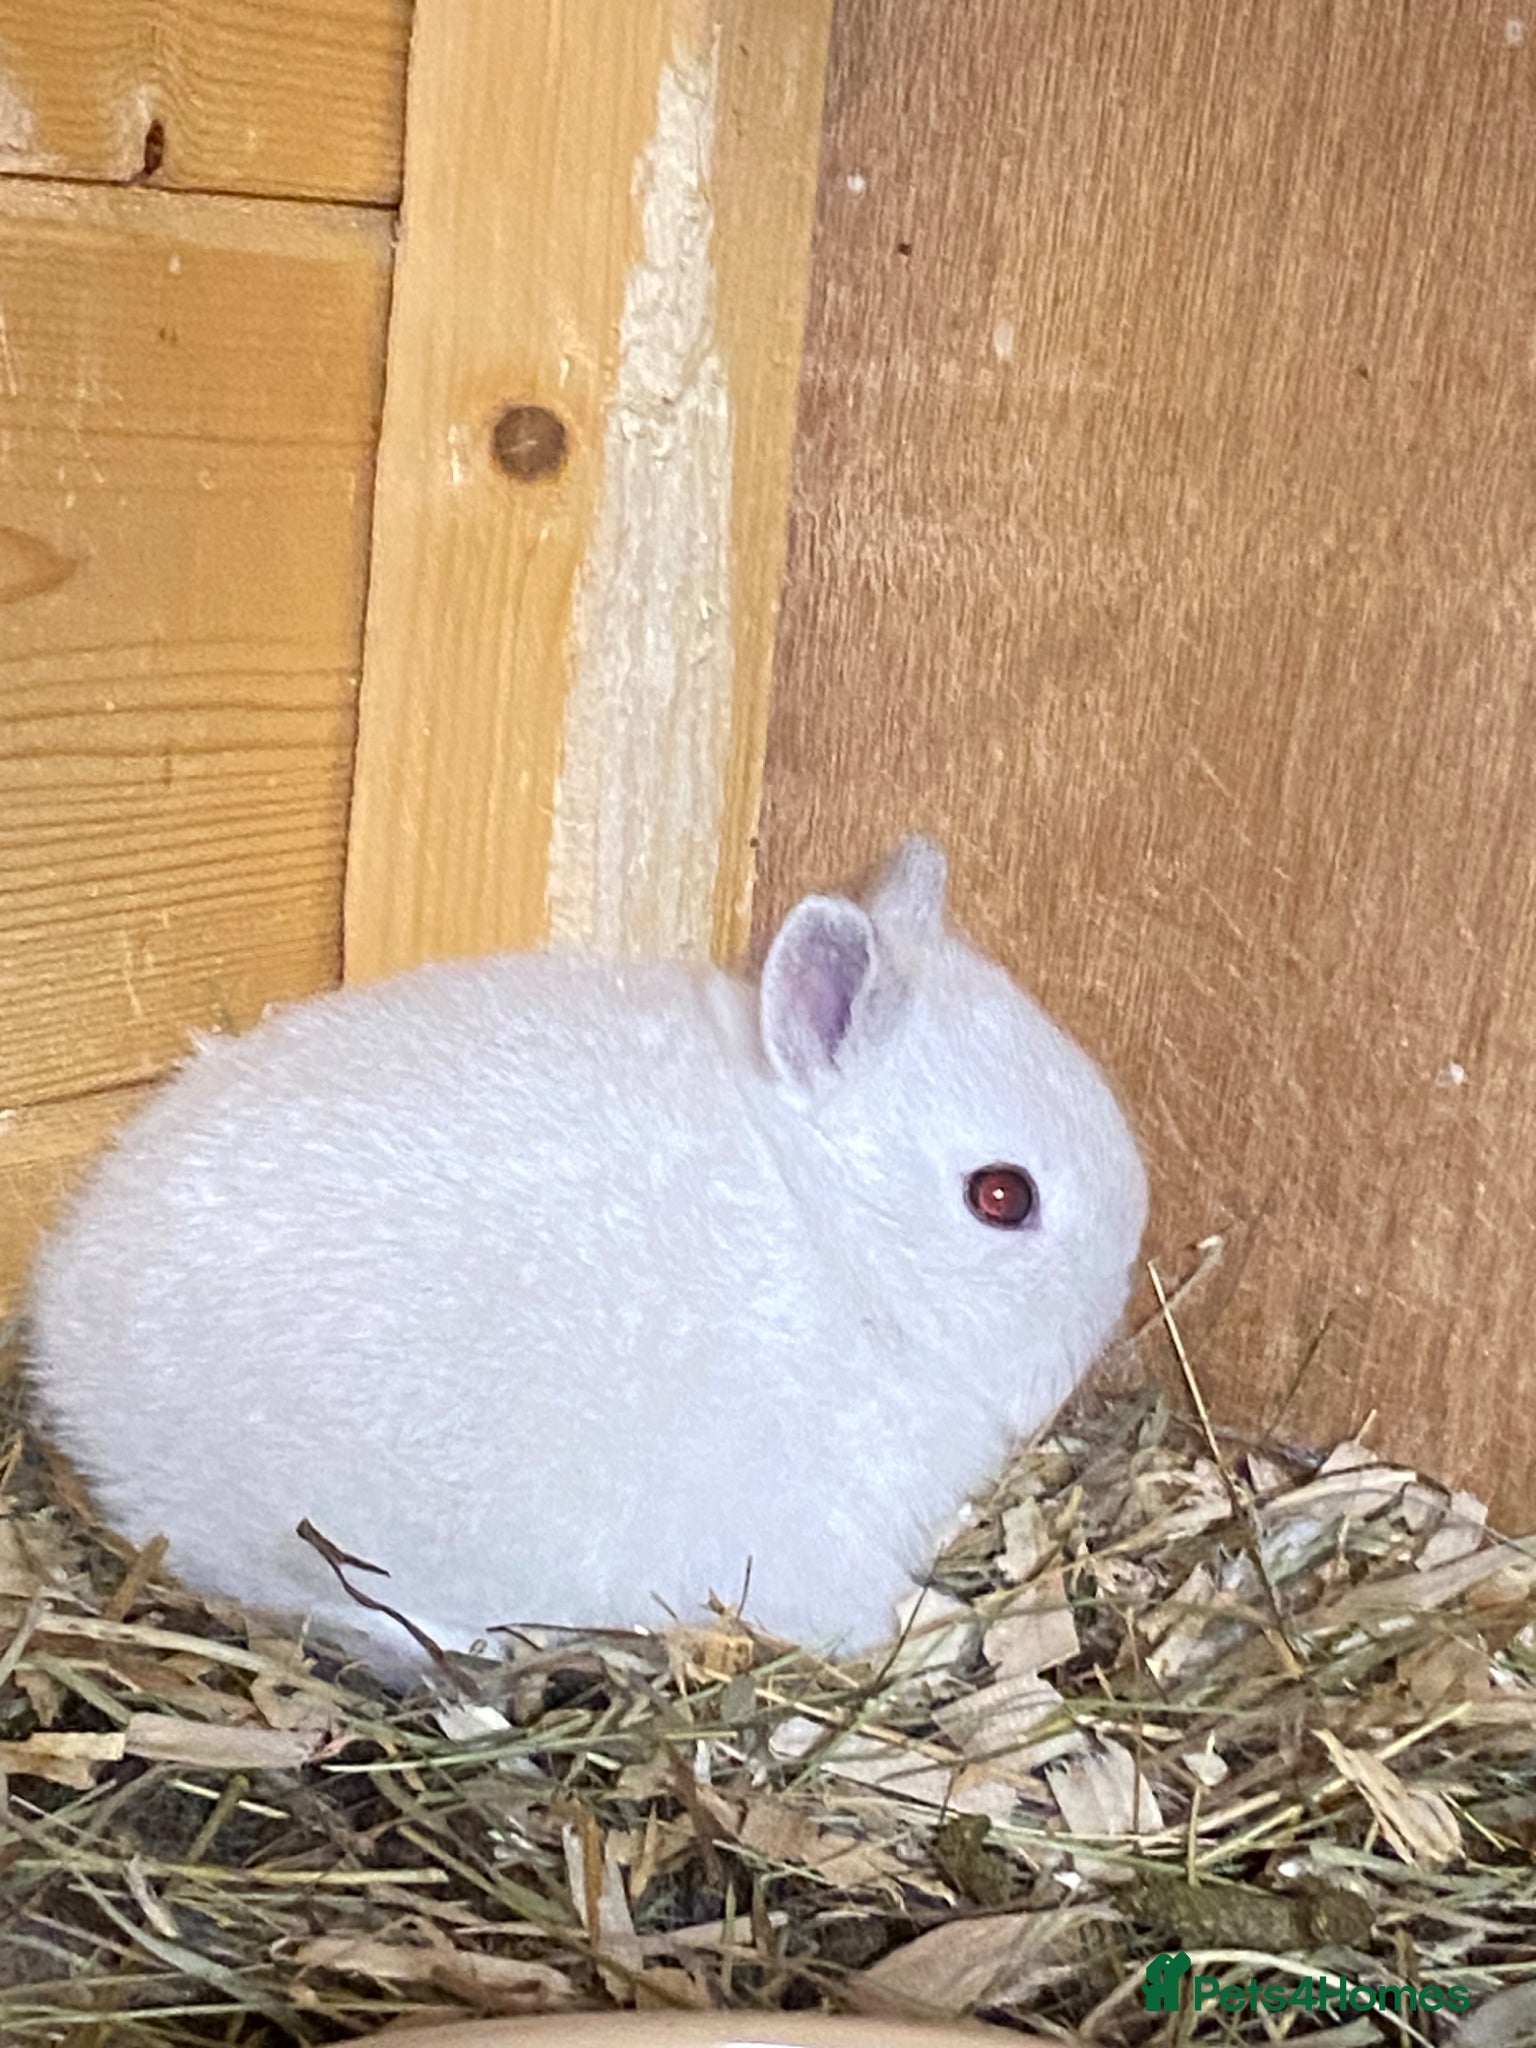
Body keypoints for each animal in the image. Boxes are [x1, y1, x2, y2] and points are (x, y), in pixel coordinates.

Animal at [27, 837, 1147, 1672]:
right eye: (1001, 1196)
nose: (1098, 1327)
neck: (837, 1248)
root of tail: (68, 1365)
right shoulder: (794, 1532)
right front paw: (944, 1626)